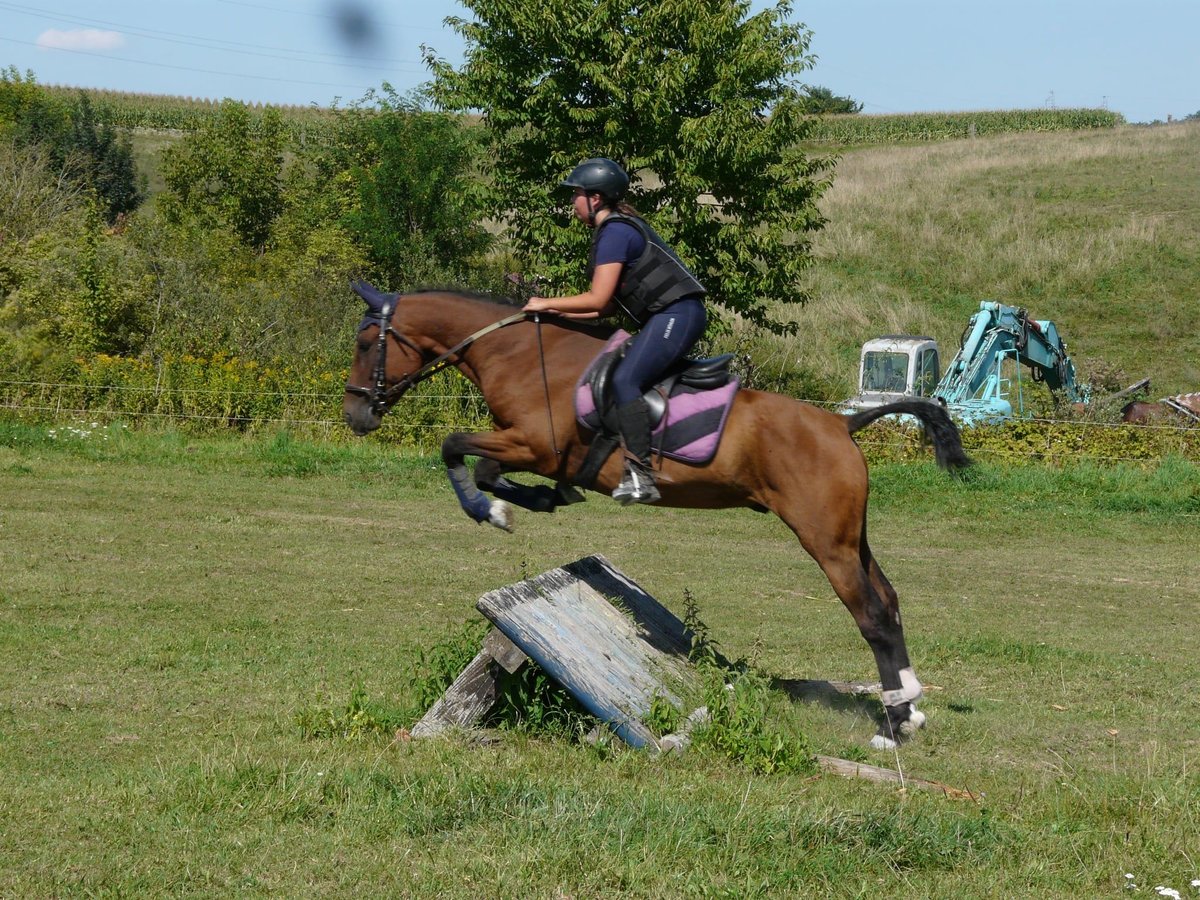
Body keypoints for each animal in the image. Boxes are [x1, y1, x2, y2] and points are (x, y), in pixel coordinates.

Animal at [342, 284, 973, 750]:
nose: (354, 415)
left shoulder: (534, 445)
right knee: (888, 600)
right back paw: (908, 708)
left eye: (366, 340)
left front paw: (495, 510)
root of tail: (842, 424)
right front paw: (541, 500)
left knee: (871, 614)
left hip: (825, 541)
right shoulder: (524, 448)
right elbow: (481, 466)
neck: (519, 355)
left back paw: (893, 728)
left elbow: (456, 449)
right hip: (850, 537)